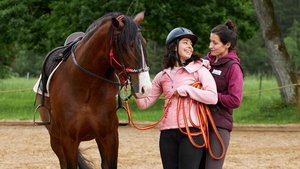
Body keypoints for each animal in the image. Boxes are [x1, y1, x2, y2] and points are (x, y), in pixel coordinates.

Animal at [34, 11, 151, 168]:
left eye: (144, 44)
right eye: (128, 46)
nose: (146, 88)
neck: (86, 87)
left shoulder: (109, 137)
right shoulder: (68, 140)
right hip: (56, 140)